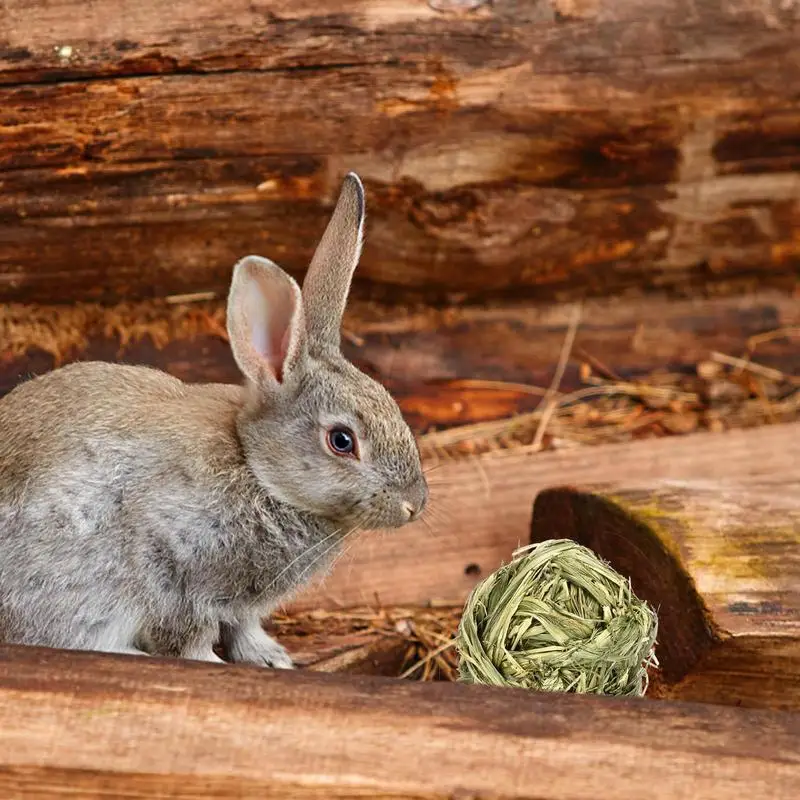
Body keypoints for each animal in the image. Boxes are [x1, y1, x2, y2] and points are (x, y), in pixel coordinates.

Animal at [0, 175, 428, 668]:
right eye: (342, 440)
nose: (414, 505)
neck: (257, 471)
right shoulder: (172, 569)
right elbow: (190, 634)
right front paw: (213, 663)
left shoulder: (241, 605)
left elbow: (244, 625)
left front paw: (271, 659)